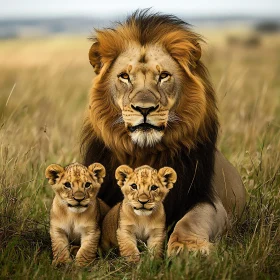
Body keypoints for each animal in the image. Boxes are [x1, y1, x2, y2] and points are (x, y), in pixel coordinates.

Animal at [82, 10, 246, 254]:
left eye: (163, 76)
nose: (144, 109)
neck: (145, 151)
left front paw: (187, 249)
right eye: (124, 76)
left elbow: (190, 220)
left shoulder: (205, 198)